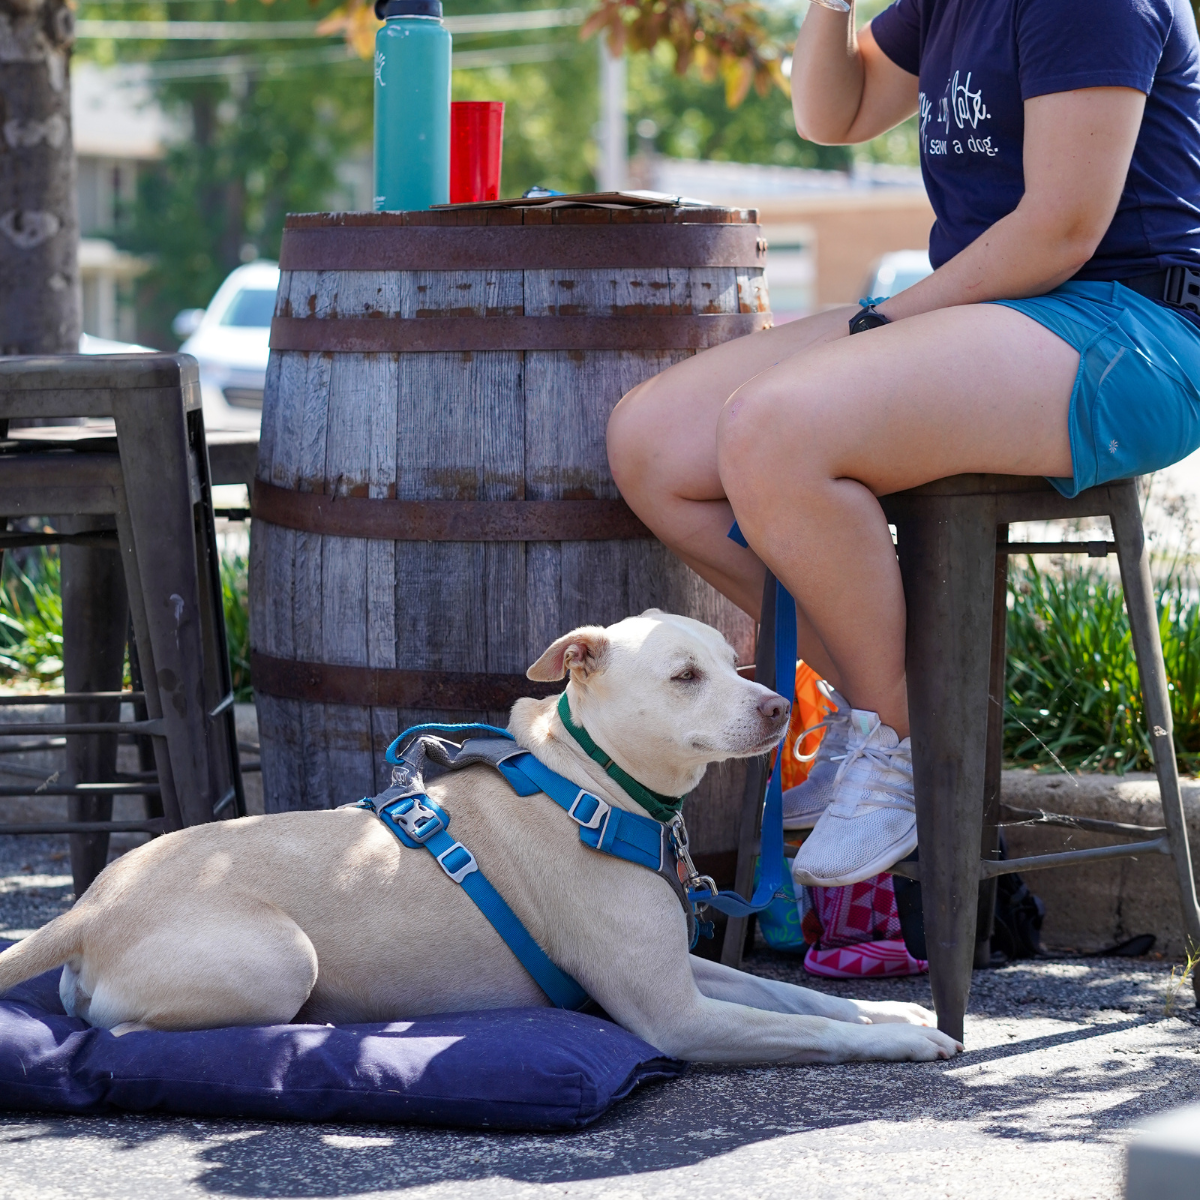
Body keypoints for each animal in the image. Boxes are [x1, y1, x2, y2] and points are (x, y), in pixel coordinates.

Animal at [0, 614, 960, 1065]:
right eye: (686, 676)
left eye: (734, 662)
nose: (778, 707)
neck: (592, 785)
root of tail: (90, 906)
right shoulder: (675, 1016)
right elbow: (809, 1029)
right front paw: (899, 1043)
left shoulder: (687, 969)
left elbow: (797, 997)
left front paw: (898, 1011)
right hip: (277, 962)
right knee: (127, 1035)